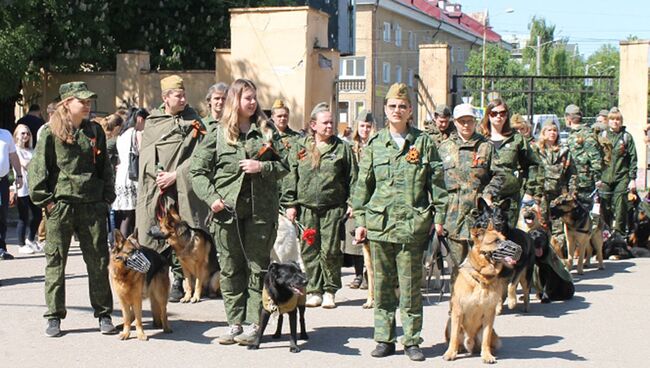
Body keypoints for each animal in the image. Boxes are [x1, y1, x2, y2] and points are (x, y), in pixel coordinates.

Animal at [442, 223, 504, 364]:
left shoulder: (489, 314)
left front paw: (487, 355)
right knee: (455, 338)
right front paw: (450, 353)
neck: (481, 277)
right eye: (496, 241)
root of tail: (470, 341)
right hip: (450, 322)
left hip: (489, 333)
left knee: (488, 342)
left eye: (505, 238)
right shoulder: (457, 311)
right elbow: (454, 337)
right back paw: (458, 349)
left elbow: (486, 339)